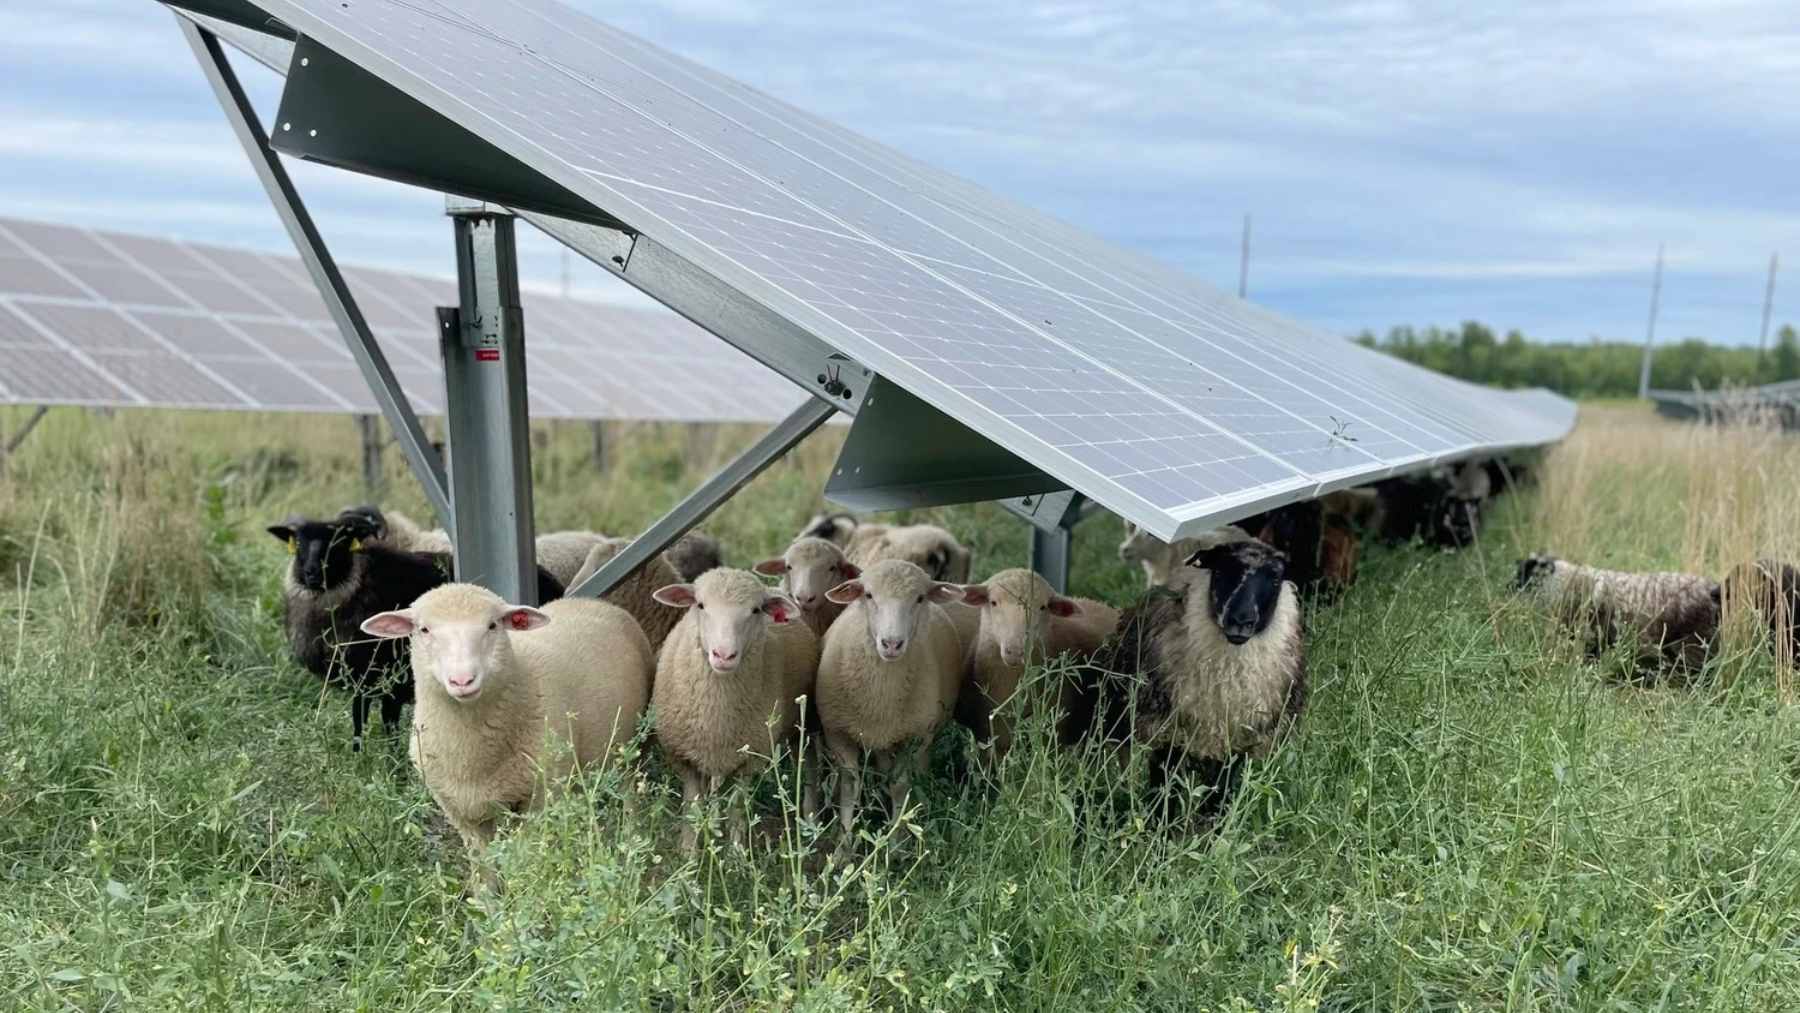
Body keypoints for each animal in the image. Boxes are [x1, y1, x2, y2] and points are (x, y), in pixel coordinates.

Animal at [360, 584, 651, 869]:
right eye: (424, 629)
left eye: (492, 625)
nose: (462, 680)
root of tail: (590, 600)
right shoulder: (461, 812)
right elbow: (485, 869)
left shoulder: (542, 796)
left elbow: (526, 861)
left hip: (628, 752)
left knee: (630, 796)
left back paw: (631, 843)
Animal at [650, 570, 820, 851]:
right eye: (700, 605)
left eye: (755, 610)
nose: (724, 655)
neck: (716, 710)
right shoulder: (685, 757)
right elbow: (692, 806)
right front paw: (689, 852)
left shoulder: (748, 759)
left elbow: (737, 806)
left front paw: (737, 851)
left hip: (803, 726)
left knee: (808, 766)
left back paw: (808, 817)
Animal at [816, 560, 966, 839]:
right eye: (868, 595)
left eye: (919, 598)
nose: (892, 643)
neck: (880, 699)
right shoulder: (836, 732)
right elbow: (850, 785)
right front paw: (844, 841)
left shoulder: (915, 736)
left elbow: (900, 785)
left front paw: (896, 838)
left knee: (915, 770)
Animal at [1085, 539, 1306, 819]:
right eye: (1220, 571)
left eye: (1276, 578)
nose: (1240, 620)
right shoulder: (1168, 732)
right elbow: (1164, 786)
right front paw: (1161, 823)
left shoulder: (1237, 743)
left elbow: (1219, 792)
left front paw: (1213, 823)